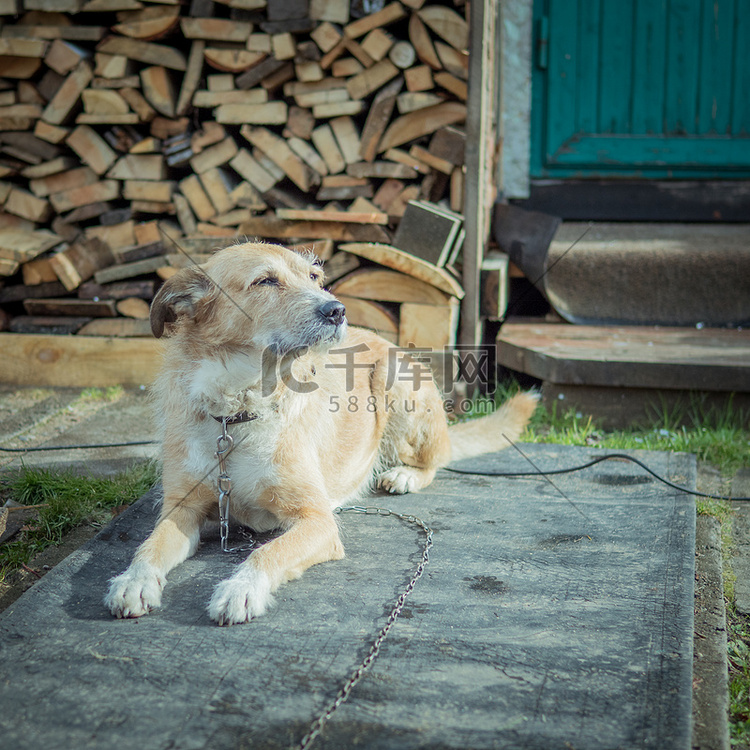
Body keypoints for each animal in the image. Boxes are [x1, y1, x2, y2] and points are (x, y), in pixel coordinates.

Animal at [106, 239, 540, 624]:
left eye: (315, 277)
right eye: (265, 281)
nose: (337, 310)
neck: (238, 411)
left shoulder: (317, 521)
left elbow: (266, 553)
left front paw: (241, 589)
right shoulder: (183, 508)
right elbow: (150, 545)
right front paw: (133, 580)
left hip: (396, 380)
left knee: (437, 457)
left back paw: (405, 475)